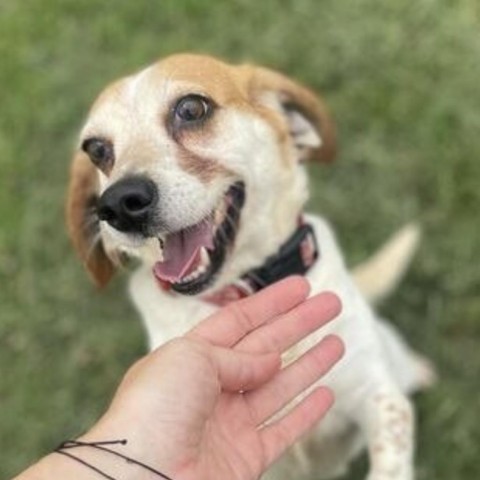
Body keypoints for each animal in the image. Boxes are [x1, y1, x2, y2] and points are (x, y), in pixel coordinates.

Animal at [66, 53, 436, 480]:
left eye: (191, 109)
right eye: (96, 149)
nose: (117, 204)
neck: (246, 286)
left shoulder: (375, 394)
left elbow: (391, 445)